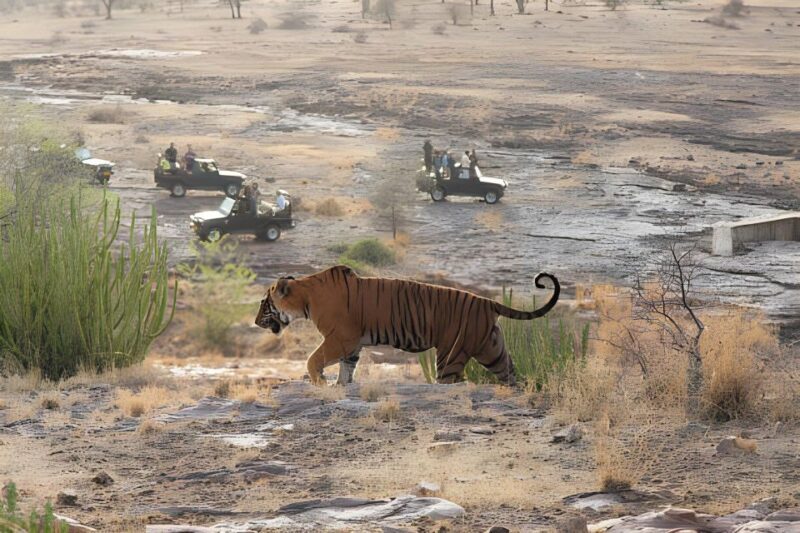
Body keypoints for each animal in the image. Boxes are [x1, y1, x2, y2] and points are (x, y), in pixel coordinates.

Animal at [255, 265, 559, 386]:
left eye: (264, 303)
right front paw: (340, 384)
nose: (255, 321)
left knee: (454, 379)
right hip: (492, 349)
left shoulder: (340, 338)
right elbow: (347, 367)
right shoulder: (351, 344)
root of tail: (488, 302)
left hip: (451, 354)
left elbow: (313, 359)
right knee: (510, 374)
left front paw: (320, 382)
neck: (306, 297)